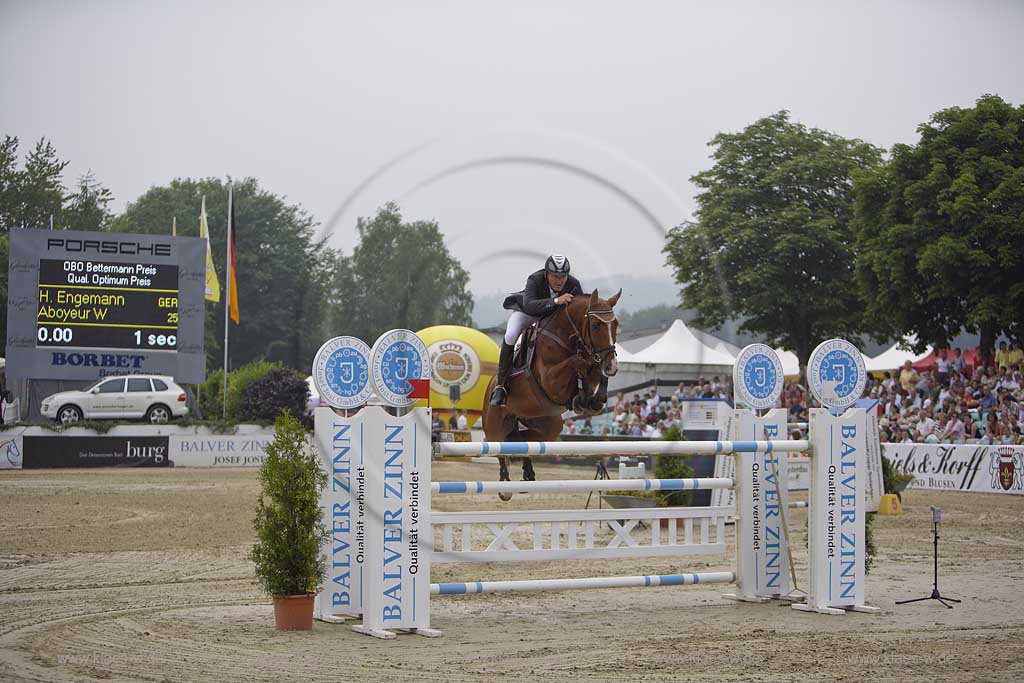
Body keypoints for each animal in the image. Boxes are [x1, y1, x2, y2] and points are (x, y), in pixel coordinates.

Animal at [481, 286, 618, 499]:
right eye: (596, 325)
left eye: (616, 325)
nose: (612, 366)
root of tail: (490, 386)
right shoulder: (551, 380)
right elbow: (578, 362)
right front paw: (582, 394)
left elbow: (593, 371)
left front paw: (591, 399)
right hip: (494, 424)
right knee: (499, 448)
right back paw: (505, 486)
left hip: (547, 424)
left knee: (523, 440)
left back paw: (528, 473)